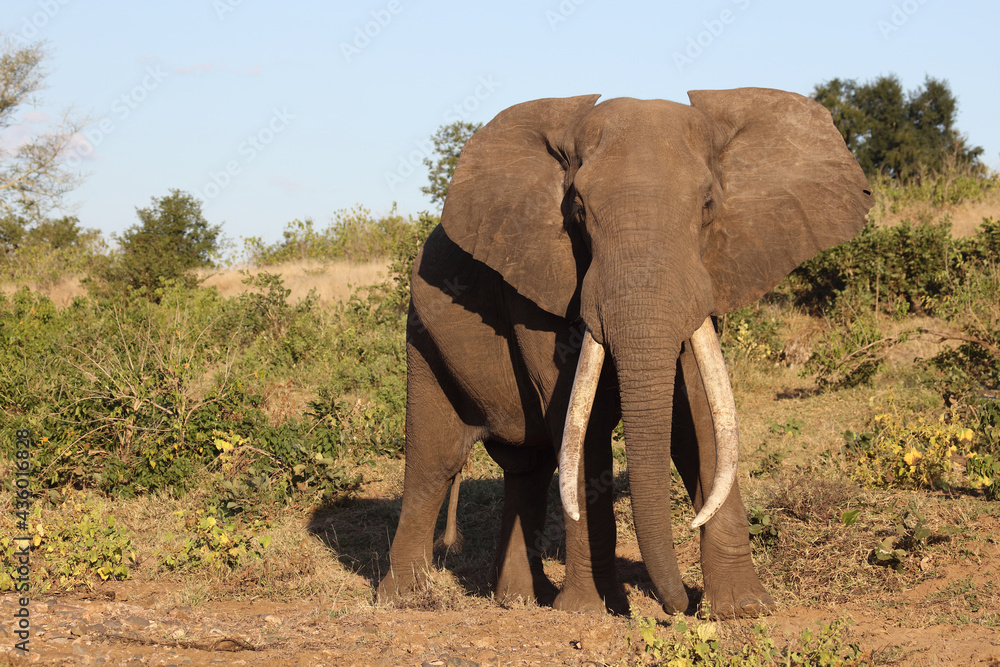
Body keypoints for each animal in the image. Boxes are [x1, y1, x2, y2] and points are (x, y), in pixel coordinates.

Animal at [377, 88, 873, 617]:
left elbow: (700, 414)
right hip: (422, 335)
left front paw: (744, 609)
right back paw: (406, 599)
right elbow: (580, 420)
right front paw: (587, 611)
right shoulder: (535, 283)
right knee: (436, 459)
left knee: (527, 466)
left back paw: (520, 600)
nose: (682, 605)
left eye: (708, 204)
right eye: (577, 208)